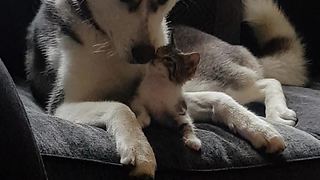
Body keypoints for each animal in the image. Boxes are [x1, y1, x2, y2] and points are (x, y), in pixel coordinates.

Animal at [25, 0, 308, 178]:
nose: (148, 55)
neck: (105, 38)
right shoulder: (62, 105)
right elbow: (121, 105)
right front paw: (139, 149)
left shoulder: (171, 93)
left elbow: (217, 100)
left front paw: (258, 128)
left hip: (207, 77)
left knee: (262, 82)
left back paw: (275, 113)